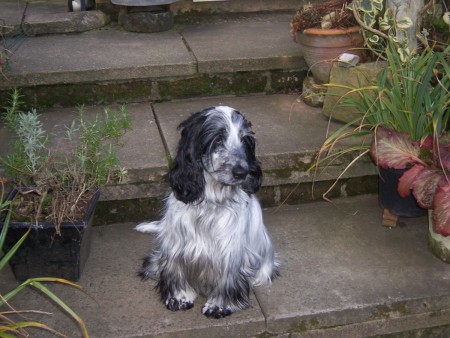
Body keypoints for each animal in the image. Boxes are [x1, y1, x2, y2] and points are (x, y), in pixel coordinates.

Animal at [135, 106, 280, 320]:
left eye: (245, 140)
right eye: (218, 139)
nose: (242, 172)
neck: (211, 202)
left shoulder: (230, 253)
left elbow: (228, 278)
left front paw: (219, 305)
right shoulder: (175, 247)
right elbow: (175, 270)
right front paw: (179, 297)